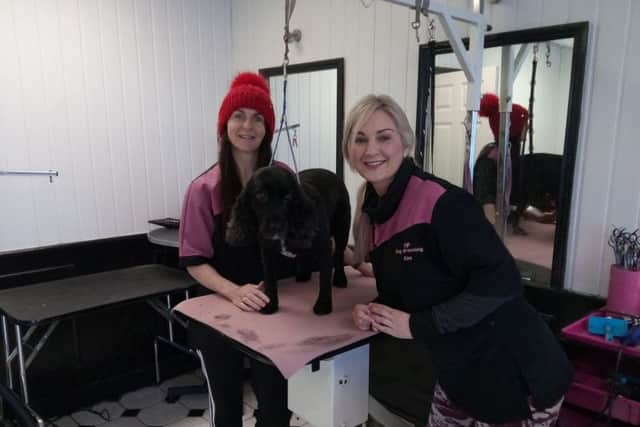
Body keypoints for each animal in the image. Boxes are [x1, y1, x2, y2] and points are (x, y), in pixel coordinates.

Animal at [225, 168, 350, 318]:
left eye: (288, 198)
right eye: (261, 195)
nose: (276, 226)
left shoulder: (324, 247)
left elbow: (324, 278)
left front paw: (323, 305)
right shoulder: (267, 252)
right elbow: (270, 280)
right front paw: (271, 305)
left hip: (342, 229)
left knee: (339, 254)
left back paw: (340, 278)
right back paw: (304, 274)